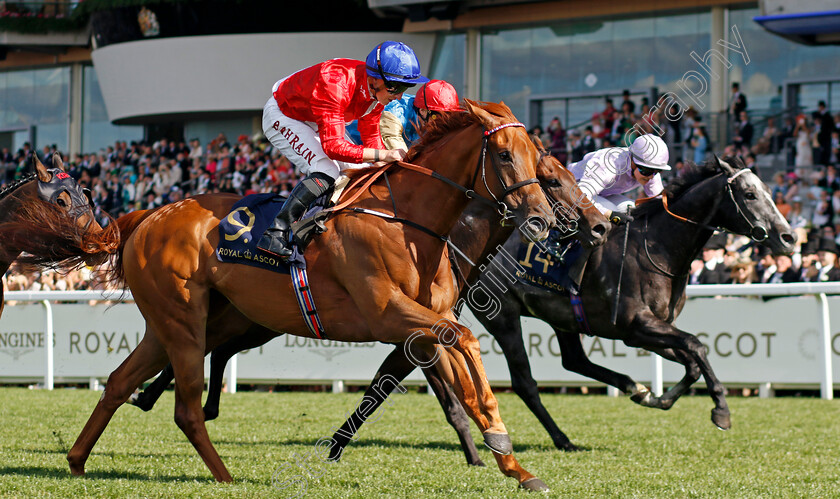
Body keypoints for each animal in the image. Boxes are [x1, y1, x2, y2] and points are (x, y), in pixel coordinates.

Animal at [69, 101, 556, 492]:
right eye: (505, 155)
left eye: (538, 159)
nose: (543, 220)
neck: (407, 221)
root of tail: (151, 214)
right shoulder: (387, 314)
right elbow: (467, 341)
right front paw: (501, 440)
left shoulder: (423, 326)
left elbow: (464, 383)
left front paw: (515, 466)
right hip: (185, 321)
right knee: (185, 408)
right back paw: (224, 476)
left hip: (170, 324)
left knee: (120, 382)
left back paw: (76, 460)